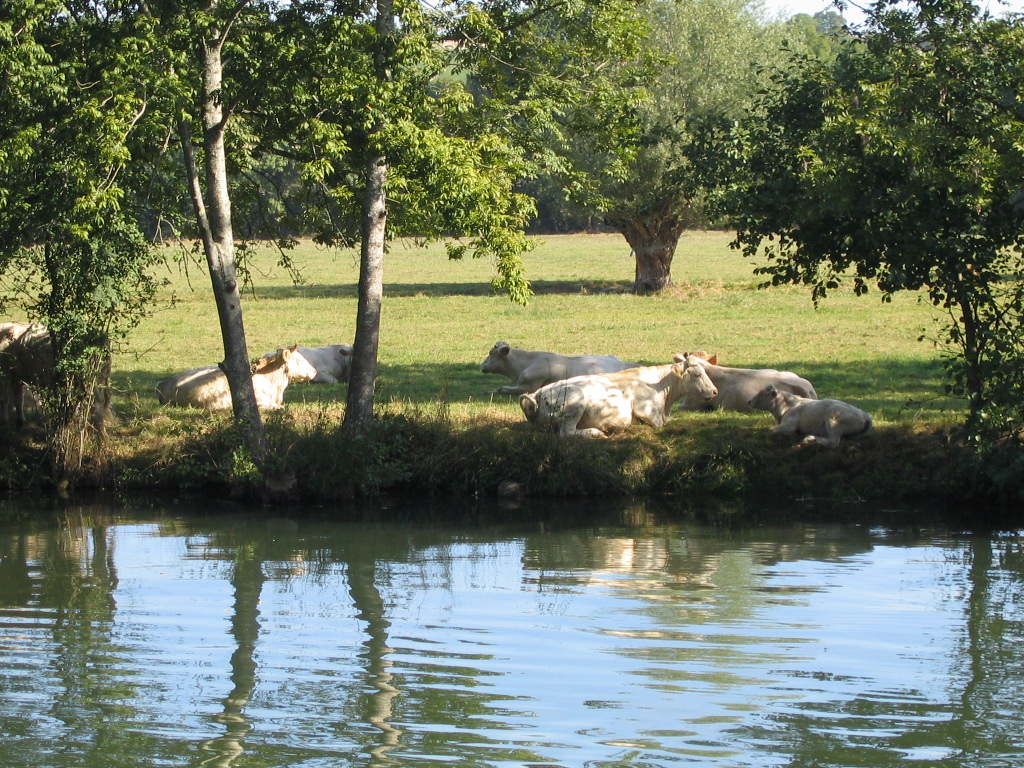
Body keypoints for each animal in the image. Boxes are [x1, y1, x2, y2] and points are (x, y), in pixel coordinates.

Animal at [516, 354, 716, 438]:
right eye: (697, 374)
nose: (715, 391)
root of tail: (538, 393)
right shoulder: (648, 413)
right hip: (576, 400)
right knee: (567, 432)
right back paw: (596, 432)